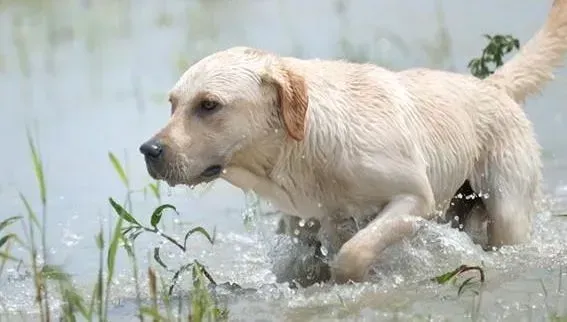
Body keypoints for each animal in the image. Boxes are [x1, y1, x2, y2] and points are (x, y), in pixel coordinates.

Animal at [140, 1, 567, 284]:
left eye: (209, 105)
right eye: (173, 104)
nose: (149, 150)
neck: (303, 147)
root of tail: (492, 86)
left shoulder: (414, 198)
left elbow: (353, 252)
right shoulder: (302, 221)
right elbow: (302, 262)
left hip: (507, 209)